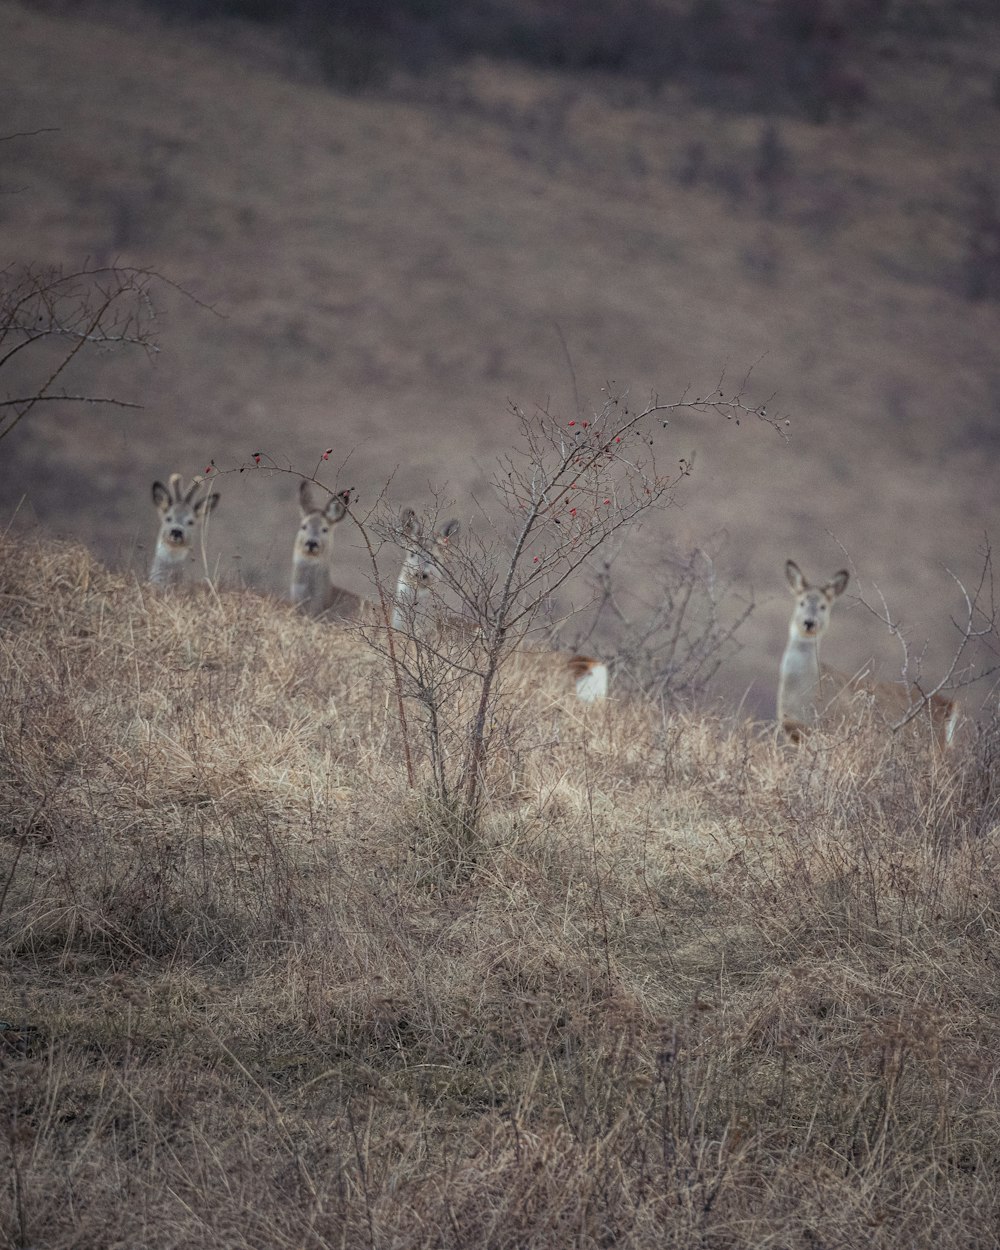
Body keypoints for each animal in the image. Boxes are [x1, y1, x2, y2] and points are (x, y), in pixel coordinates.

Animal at [775, 562, 955, 745]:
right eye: (802, 603)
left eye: (823, 606)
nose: (809, 622)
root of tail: (949, 706)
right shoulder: (793, 731)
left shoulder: (833, 725)